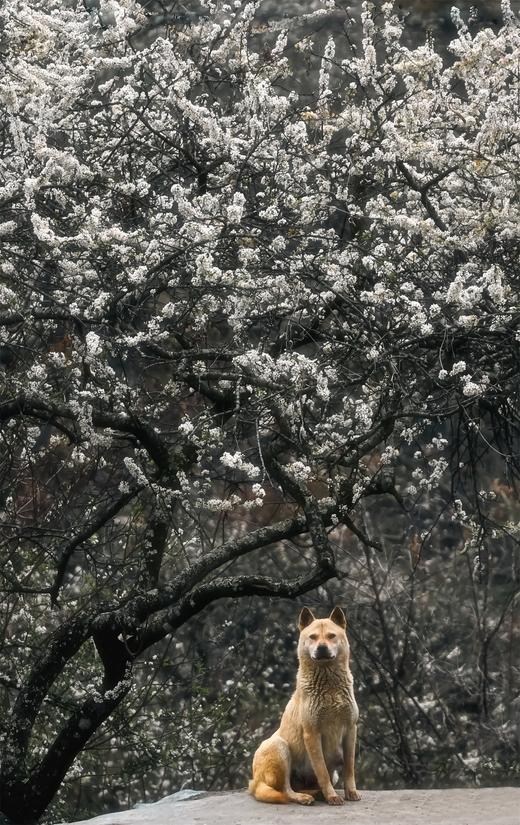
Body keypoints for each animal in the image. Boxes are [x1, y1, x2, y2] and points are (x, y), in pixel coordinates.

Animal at [249, 604, 362, 804]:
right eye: (313, 637)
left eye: (331, 636)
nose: (322, 648)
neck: (329, 688)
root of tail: (254, 783)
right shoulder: (312, 733)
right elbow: (322, 770)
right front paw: (332, 796)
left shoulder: (350, 729)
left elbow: (349, 768)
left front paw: (351, 792)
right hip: (279, 747)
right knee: (285, 790)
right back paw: (303, 797)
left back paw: (314, 793)